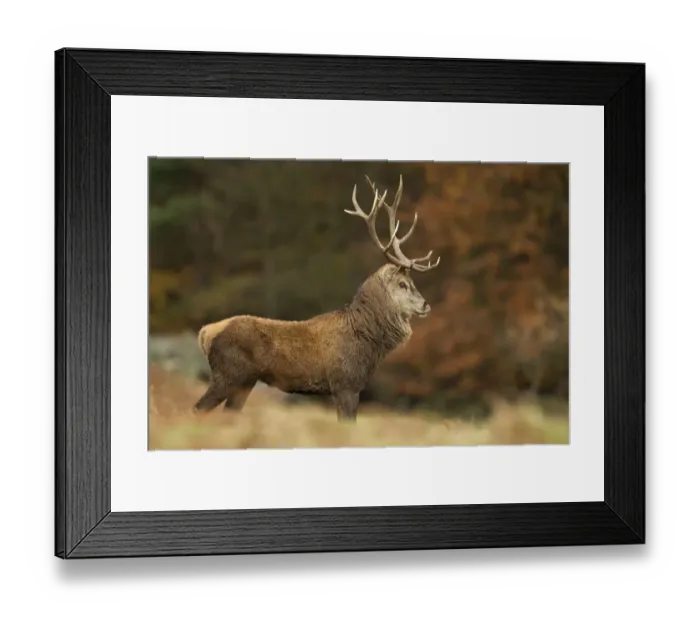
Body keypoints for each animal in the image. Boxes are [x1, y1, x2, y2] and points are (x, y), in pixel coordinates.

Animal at [193, 174, 440, 422]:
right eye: (403, 284)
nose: (426, 304)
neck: (368, 343)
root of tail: (205, 333)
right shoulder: (345, 383)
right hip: (228, 375)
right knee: (197, 409)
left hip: (245, 381)